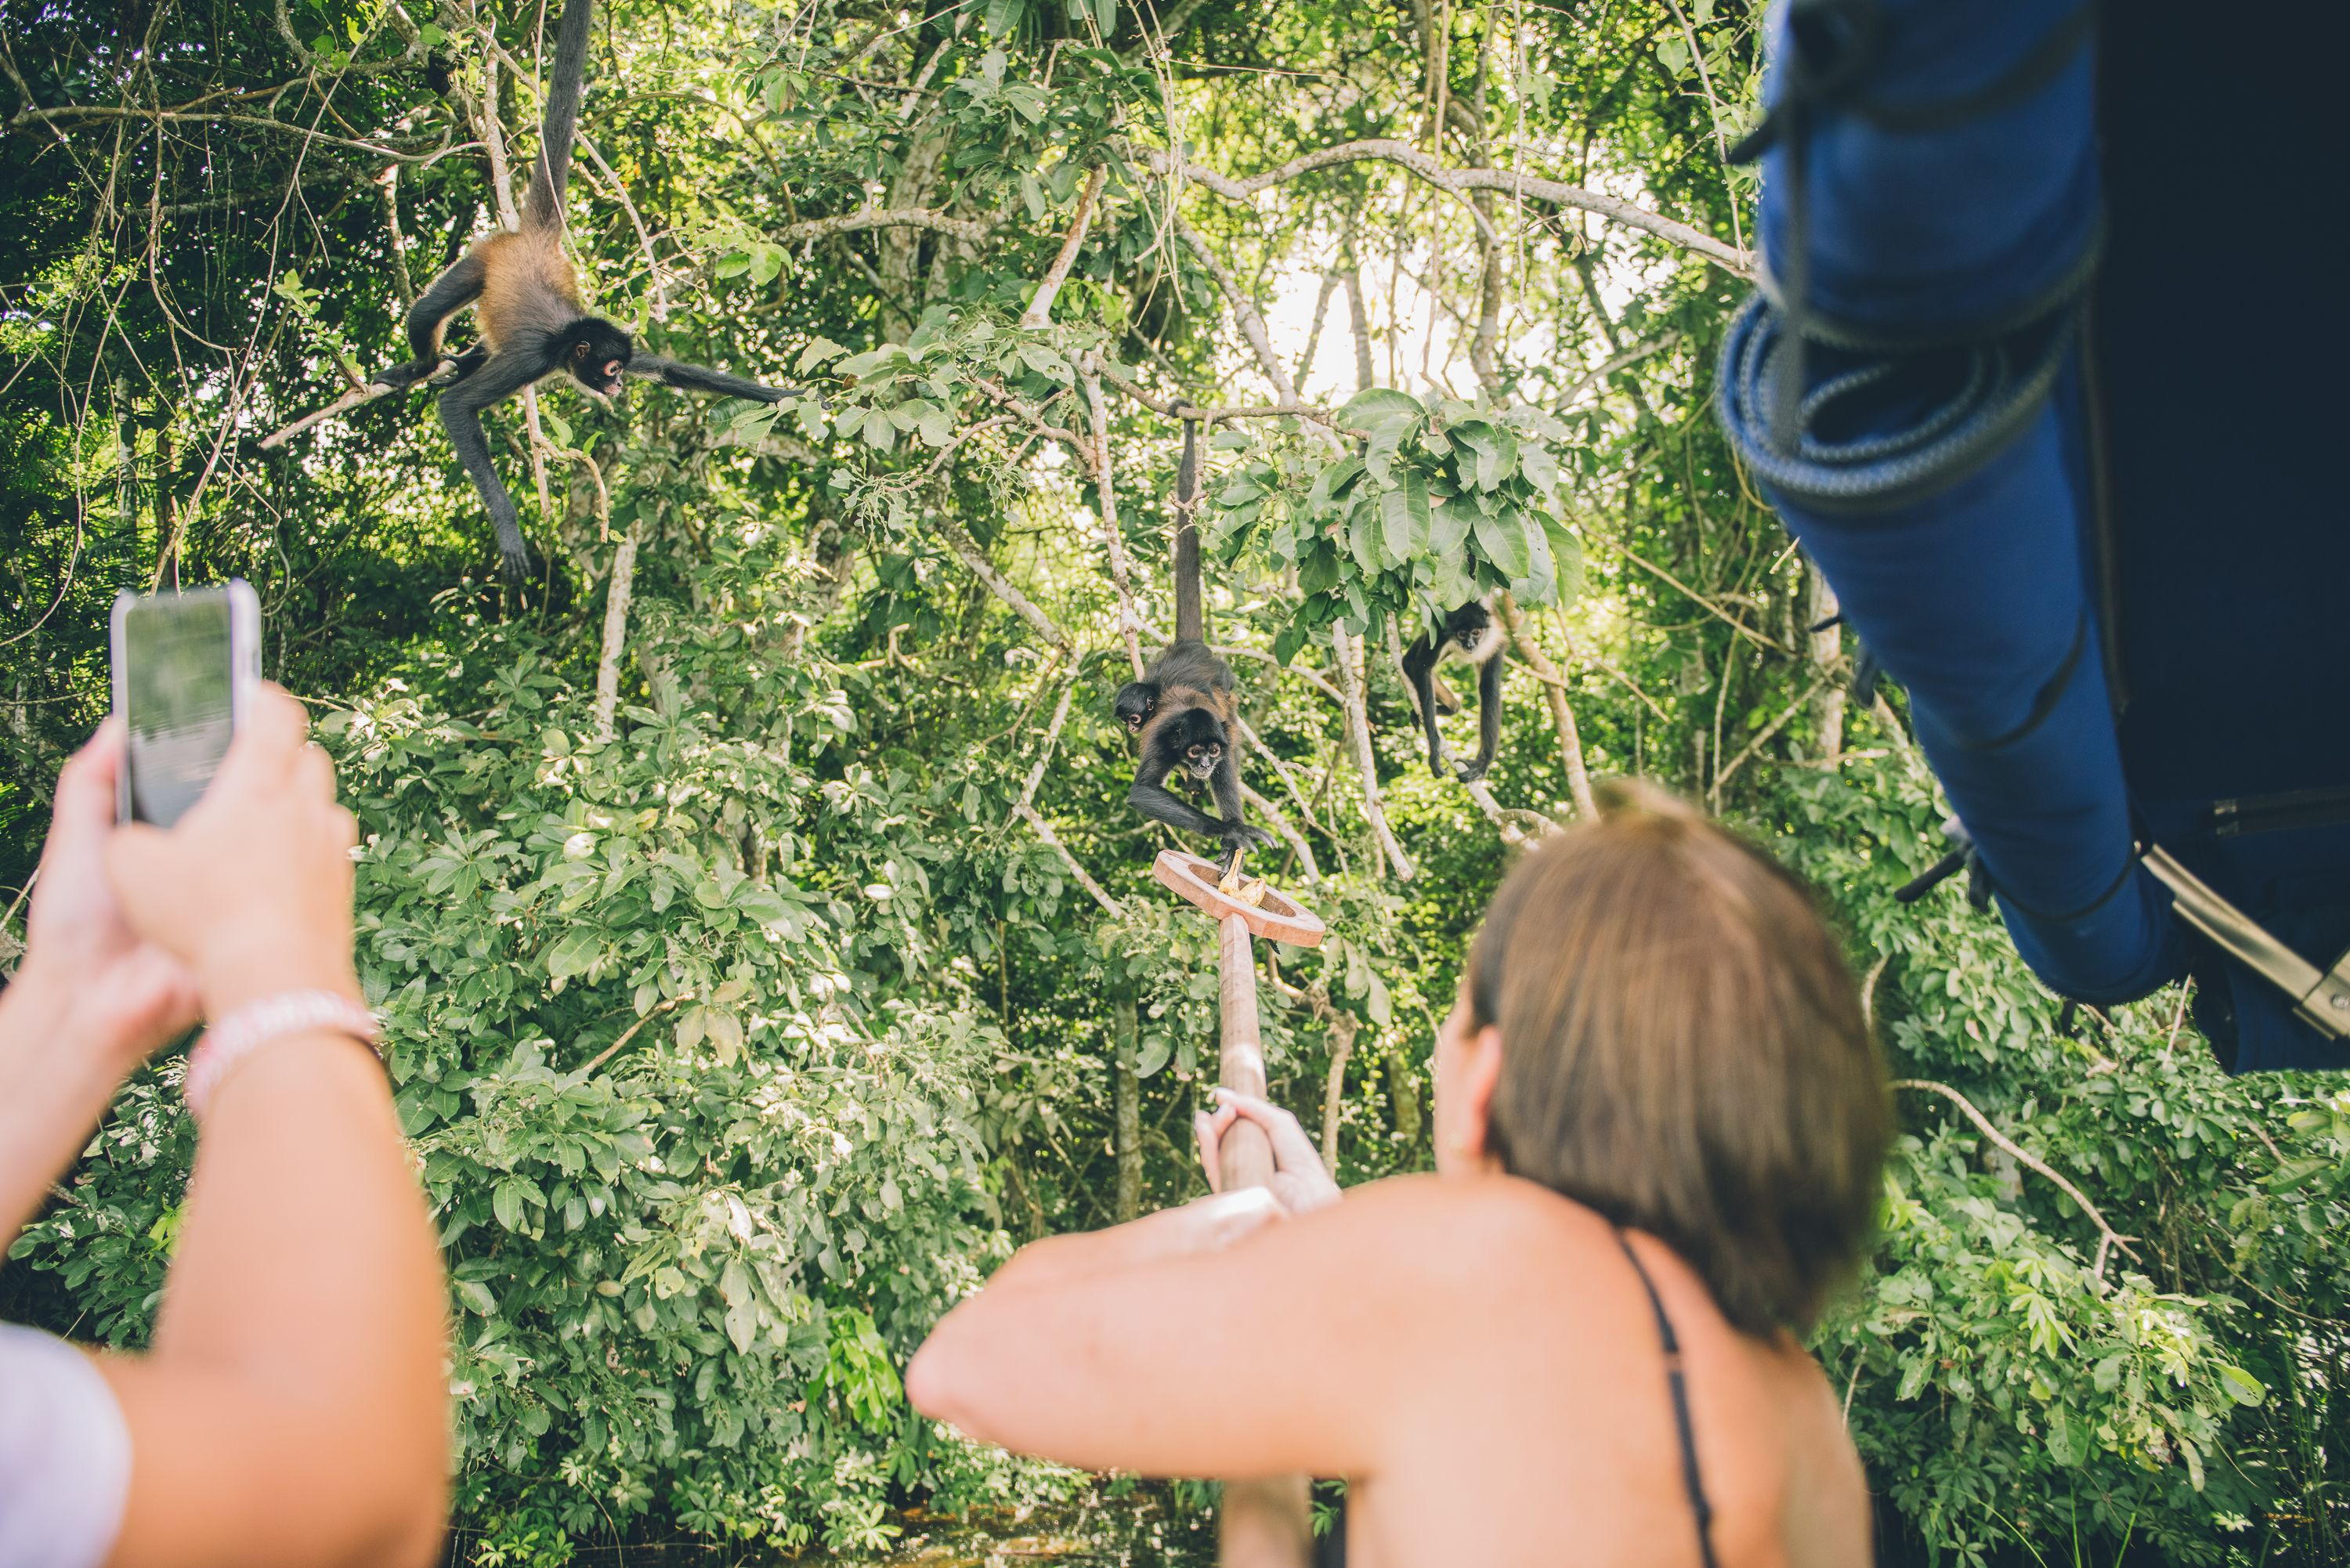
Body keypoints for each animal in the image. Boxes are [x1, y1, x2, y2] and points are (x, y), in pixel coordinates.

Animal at [369, 0, 796, 577]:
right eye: (610, 371)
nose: (616, 389)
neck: (566, 340)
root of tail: (533, 240)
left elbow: (670, 370)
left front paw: (795, 395)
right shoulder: (533, 359)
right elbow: (456, 408)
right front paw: (509, 531)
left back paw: (461, 358)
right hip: (483, 257)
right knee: (425, 314)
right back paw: (420, 367)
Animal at [1113, 417, 1272, 876]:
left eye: (1210, 751)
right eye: (1196, 751)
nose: (1201, 764)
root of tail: (1190, 645)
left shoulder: (1222, 733)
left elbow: (1229, 765)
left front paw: (1233, 829)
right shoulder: (1166, 736)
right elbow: (1143, 791)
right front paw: (1232, 831)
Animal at [1400, 596, 1505, 782]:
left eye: (1476, 633)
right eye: (1462, 634)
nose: (1470, 646)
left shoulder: (1495, 642)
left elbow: (1490, 688)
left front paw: (1482, 763)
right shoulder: (1441, 632)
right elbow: (1422, 667)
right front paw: (1435, 752)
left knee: (1489, 686)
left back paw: (1452, 708)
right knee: (1409, 662)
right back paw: (1452, 708)